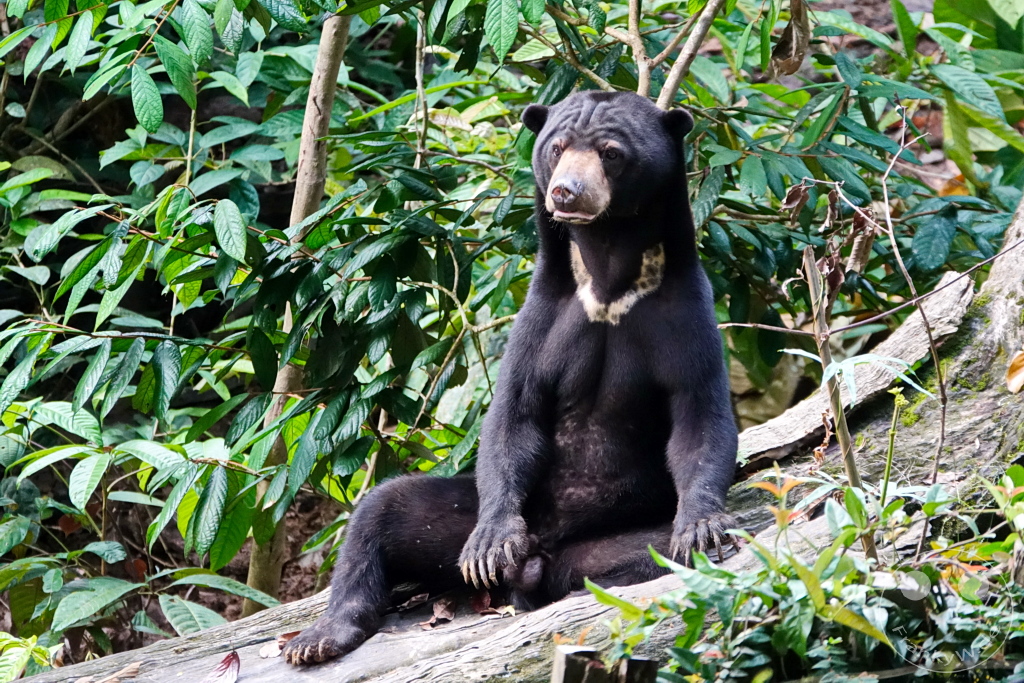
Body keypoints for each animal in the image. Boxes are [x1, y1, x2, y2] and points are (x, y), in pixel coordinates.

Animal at [282, 90, 739, 666]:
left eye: (611, 153)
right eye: (557, 147)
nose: (566, 191)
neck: (608, 273)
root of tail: (543, 551)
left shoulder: (684, 314)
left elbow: (701, 418)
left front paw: (701, 529)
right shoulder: (542, 316)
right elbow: (513, 415)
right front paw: (491, 545)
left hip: (602, 545)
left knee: (641, 558)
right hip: (460, 518)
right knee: (382, 512)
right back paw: (320, 637)